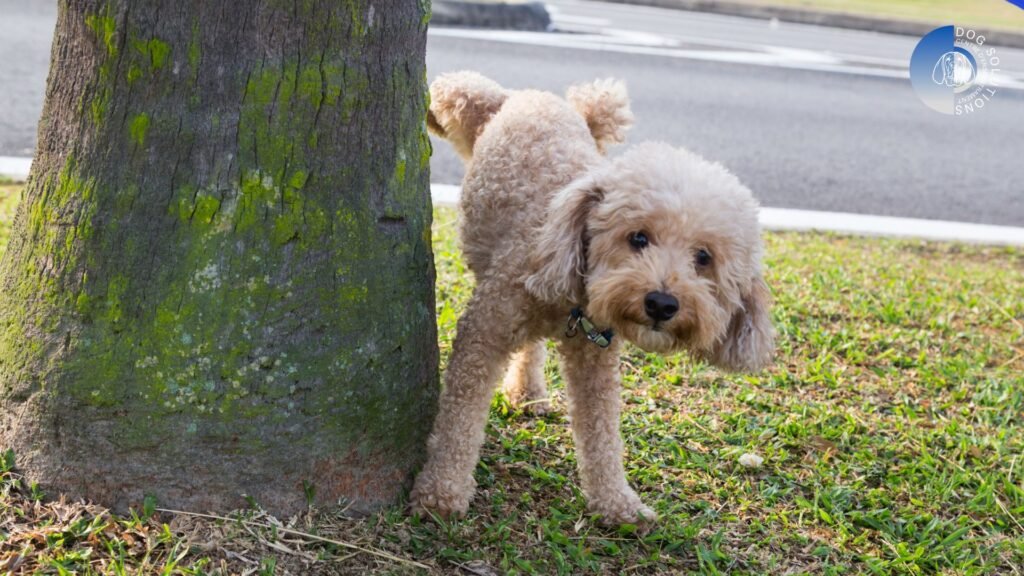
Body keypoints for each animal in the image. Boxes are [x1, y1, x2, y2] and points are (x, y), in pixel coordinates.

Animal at [411, 69, 770, 522]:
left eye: (703, 258)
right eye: (638, 238)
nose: (662, 304)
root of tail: (534, 97)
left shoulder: (595, 358)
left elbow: (601, 433)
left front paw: (617, 502)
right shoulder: (484, 331)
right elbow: (460, 417)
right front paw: (442, 490)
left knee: (531, 349)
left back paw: (528, 392)